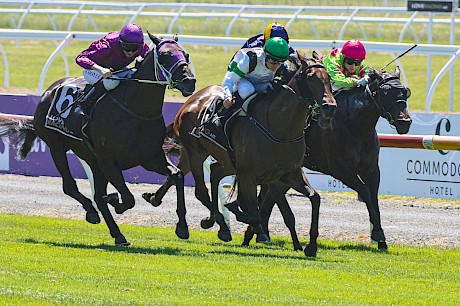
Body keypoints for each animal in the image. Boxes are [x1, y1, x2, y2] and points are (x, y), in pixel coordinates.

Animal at [0, 32, 196, 245]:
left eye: (185, 54)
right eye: (164, 56)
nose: (189, 81)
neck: (136, 110)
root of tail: (49, 90)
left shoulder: (150, 158)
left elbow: (177, 175)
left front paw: (180, 225)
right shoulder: (109, 161)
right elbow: (127, 199)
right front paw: (116, 201)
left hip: (92, 159)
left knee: (97, 194)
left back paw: (118, 234)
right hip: (57, 147)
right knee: (71, 187)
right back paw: (94, 213)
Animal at [146, 53, 336, 246]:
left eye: (329, 77)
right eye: (310, 77)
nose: (330, 106)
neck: (279, 129)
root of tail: (192, 100)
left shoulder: (286, 173)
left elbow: (311, 200)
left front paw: (307, 246)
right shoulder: (248, 175)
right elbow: (254, 213)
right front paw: (244, 220)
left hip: (206, 155)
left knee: (192, 172)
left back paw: (158, 200)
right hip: (196, 152)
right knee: (200, 189)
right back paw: (206, 225)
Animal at [246, 65, 412, 255]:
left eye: (405, 92)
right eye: (386, 91)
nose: (405, 122)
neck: (355, 124)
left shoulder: (370, 169)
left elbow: (374, 197)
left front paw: (380, 239)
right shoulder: (339, 167)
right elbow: (365, 192)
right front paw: (377, 234)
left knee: (269, 196)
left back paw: (260, 233)